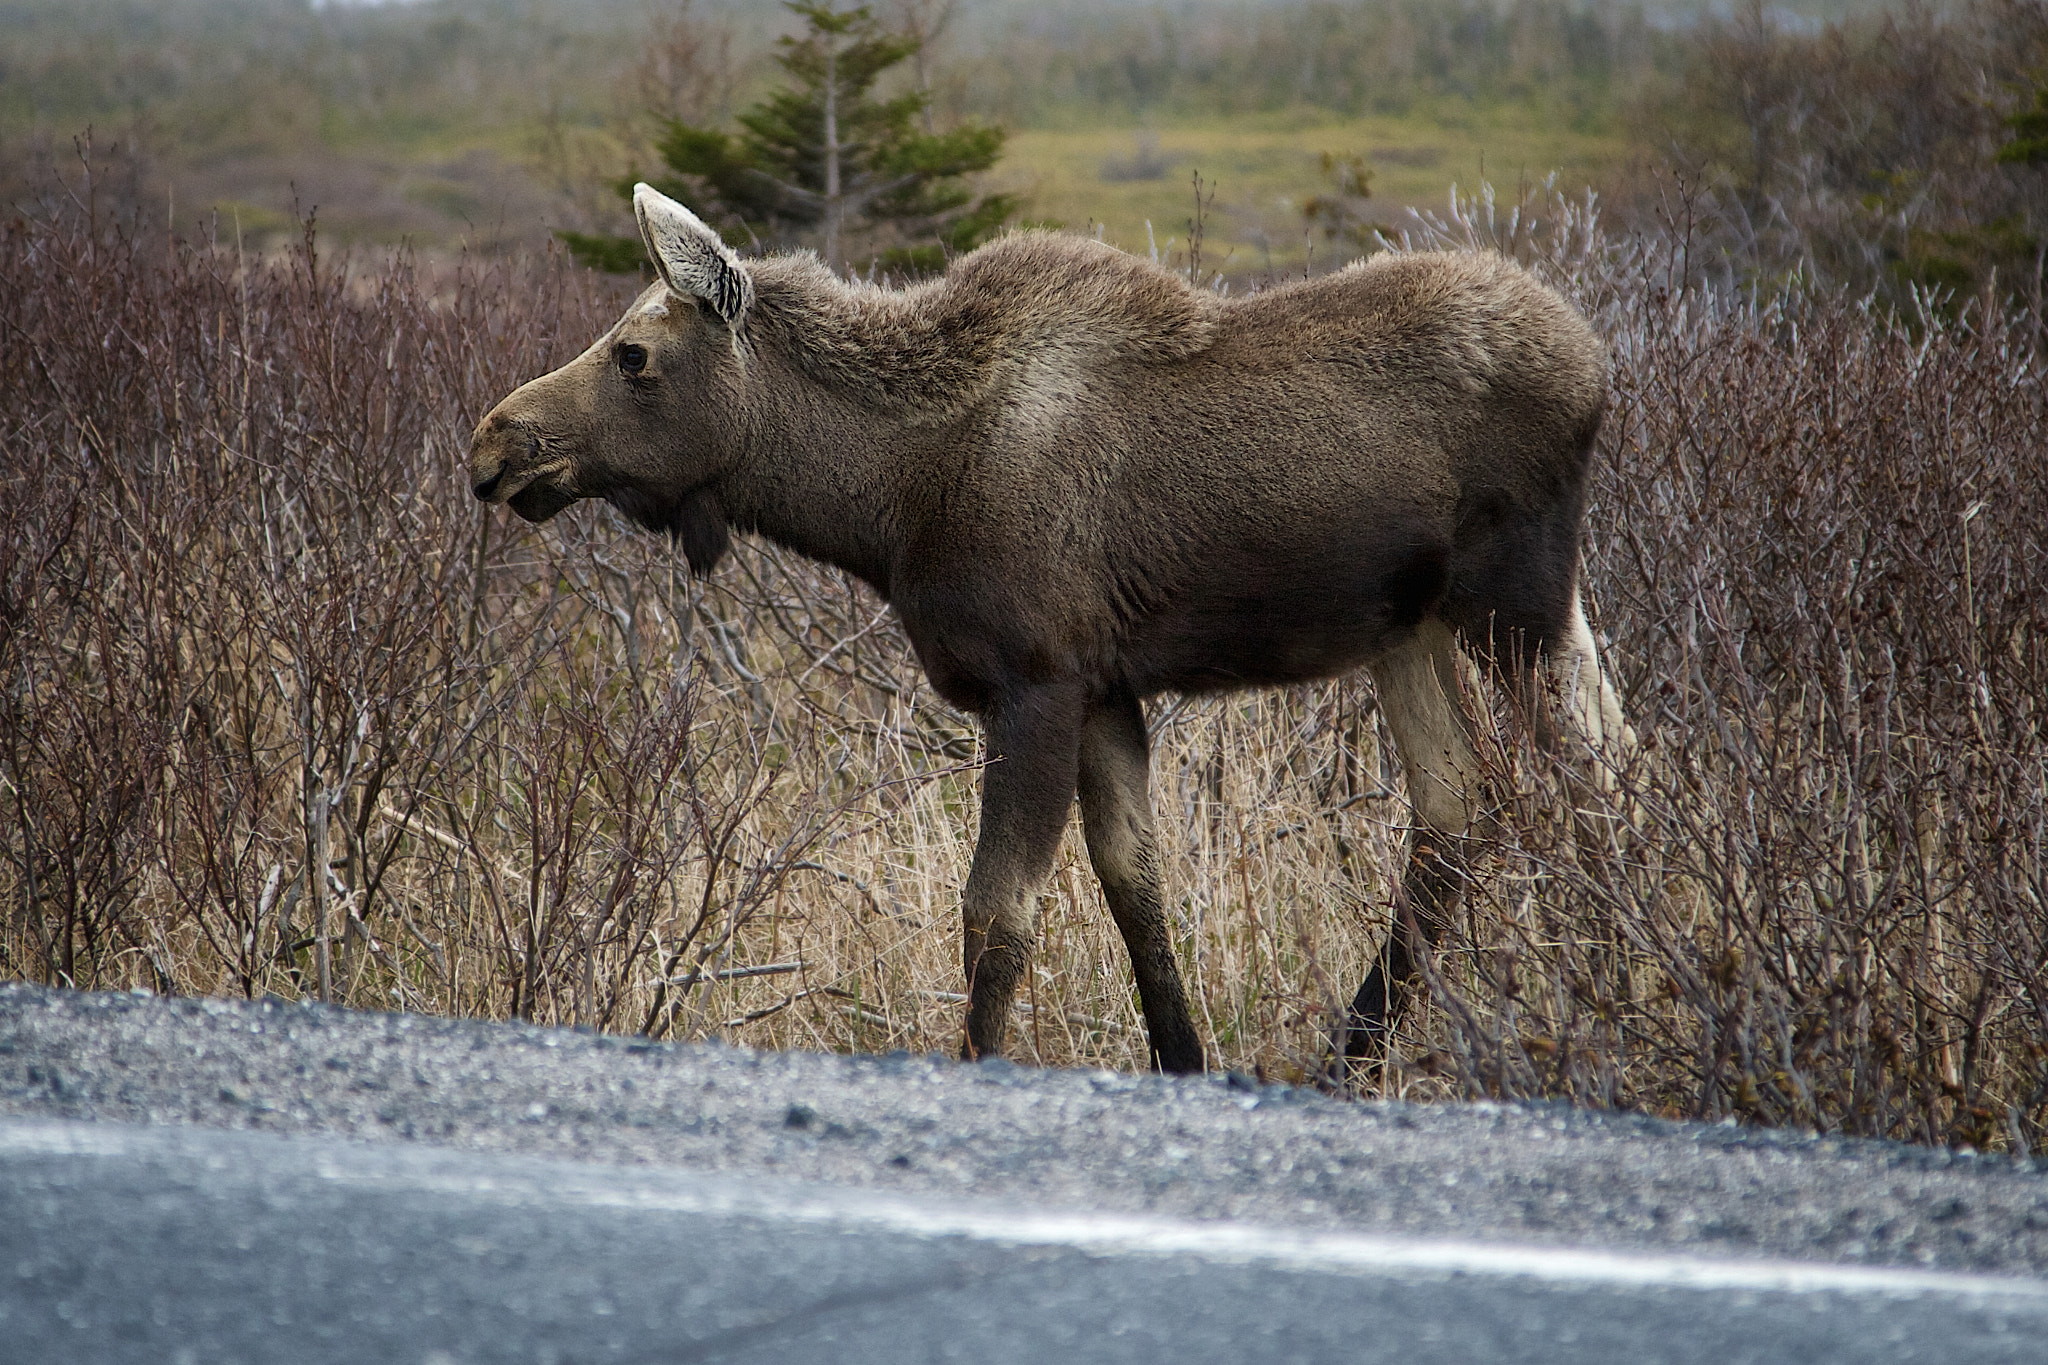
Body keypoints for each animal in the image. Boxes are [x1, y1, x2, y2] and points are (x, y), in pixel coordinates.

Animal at [469, 183, 1630, 1079]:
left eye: (632, 355)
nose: (492, 442)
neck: (883, 498)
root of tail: (1596, 362)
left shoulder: (1032, 681)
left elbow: (996, 913)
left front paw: (982, 1061)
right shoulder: (1105, 689)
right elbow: (1133, 887)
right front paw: (1183, 1062)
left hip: (1515, 599)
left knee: (1590, 778)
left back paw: (1618, 997)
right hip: (1410, 627)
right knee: (1461, 799)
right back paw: (1355, 1052)